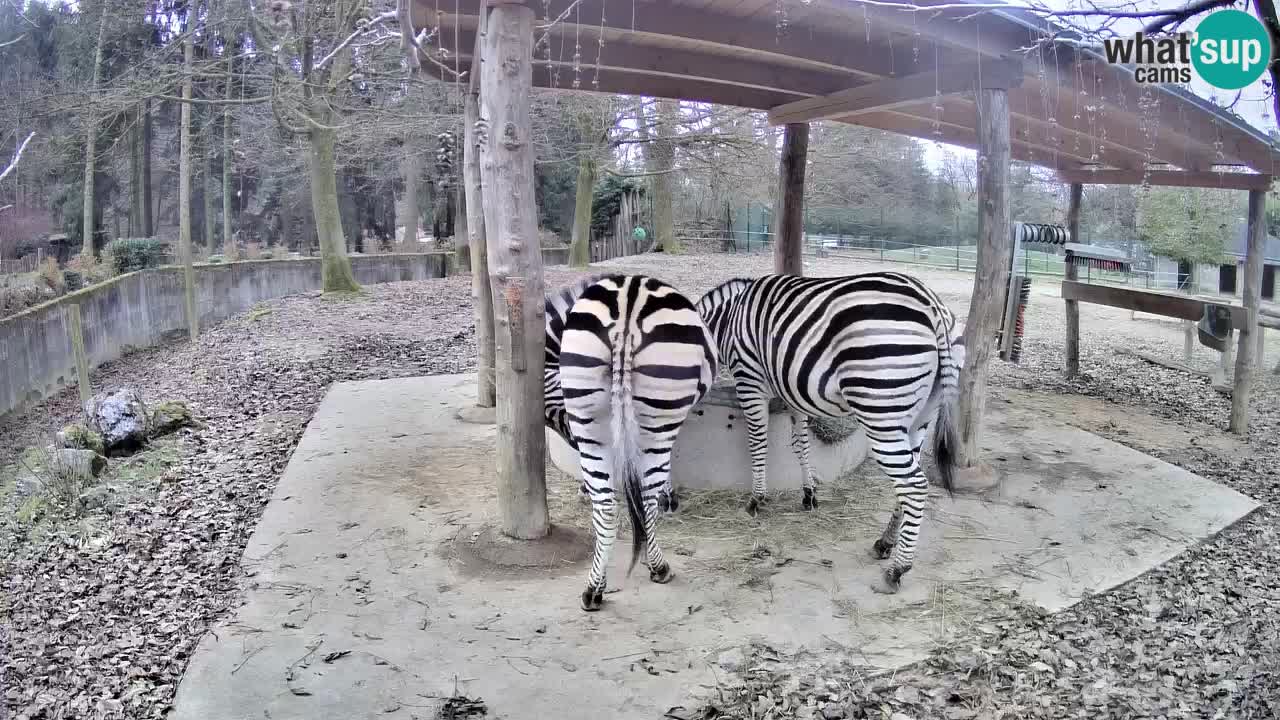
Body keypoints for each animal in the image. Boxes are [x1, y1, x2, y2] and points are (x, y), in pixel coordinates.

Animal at [555, 271, 721, 607]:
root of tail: (627, 305)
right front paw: (670, 497)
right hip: (659, 417)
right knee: (645, 498)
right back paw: (658, 566)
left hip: (590, 420)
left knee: (605, 507)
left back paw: (595, 588)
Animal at [696, 271, 962, 591]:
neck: (727, 320)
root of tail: (931, 304)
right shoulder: (791, 389)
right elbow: (800, 443)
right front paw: (809, 494)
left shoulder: (749, 379)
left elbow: (758, 442)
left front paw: (756, 500)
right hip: (921, 416)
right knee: (907, 483)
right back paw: (885, 543)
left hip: (881, 413)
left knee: (914, 484)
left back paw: (898, 569)